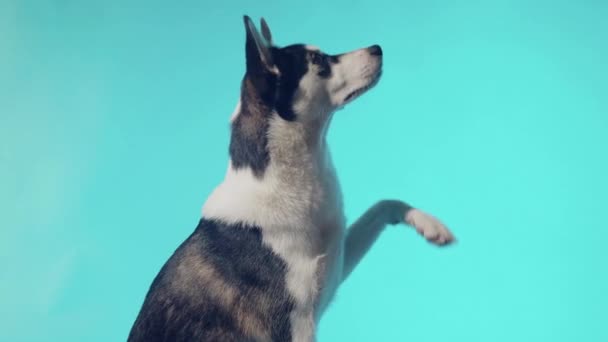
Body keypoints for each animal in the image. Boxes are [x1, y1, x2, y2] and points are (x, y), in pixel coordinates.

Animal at [127, 14, 452, 340]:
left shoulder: (335, 264)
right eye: (318, 60)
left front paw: (430, 224)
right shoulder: (295, 324)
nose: (377, 48)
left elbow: (383, 204)